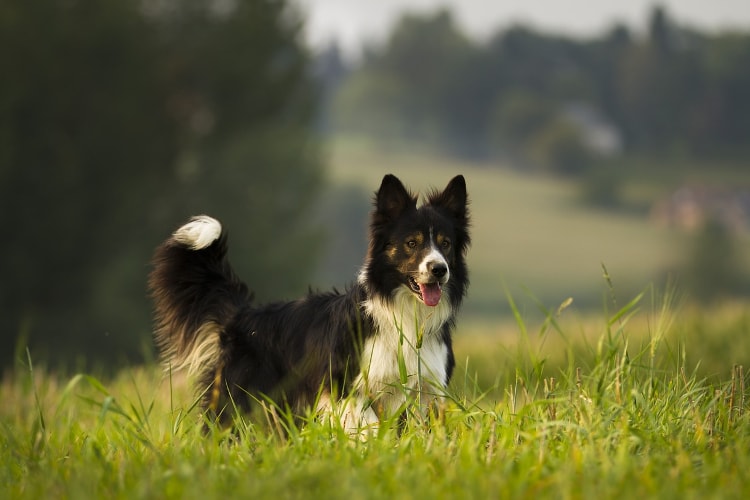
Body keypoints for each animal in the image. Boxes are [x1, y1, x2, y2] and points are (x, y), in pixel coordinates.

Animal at [148, 174, 470, 432]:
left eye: (445, 243)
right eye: (412, 243)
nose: (439, 269)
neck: (405, 314)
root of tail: (243, 314)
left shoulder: (427, 391)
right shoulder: (349, 391)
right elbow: (368, 432)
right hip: (237, 401)